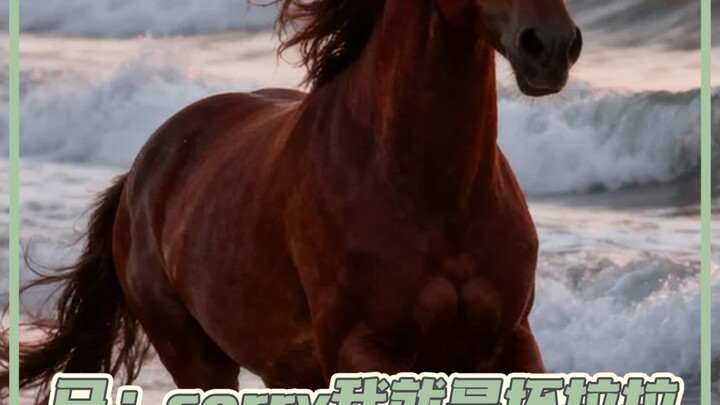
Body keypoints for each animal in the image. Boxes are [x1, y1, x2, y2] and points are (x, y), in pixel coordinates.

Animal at [2, 0, 582, 401]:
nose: (550, 45)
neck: (436, 194)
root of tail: (140, 174)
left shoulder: (508, 342)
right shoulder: (360, 349)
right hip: (195, 356)